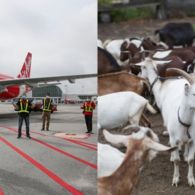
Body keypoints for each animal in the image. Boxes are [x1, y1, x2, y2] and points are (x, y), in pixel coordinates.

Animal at [136, 57, 195, 186]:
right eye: (194, 93)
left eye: (142, 67)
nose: (139, 75)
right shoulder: (174, 138)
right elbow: (177, 160)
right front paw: (176, 179)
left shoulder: (193, 140)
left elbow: (191, 160)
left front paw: (191, 179)